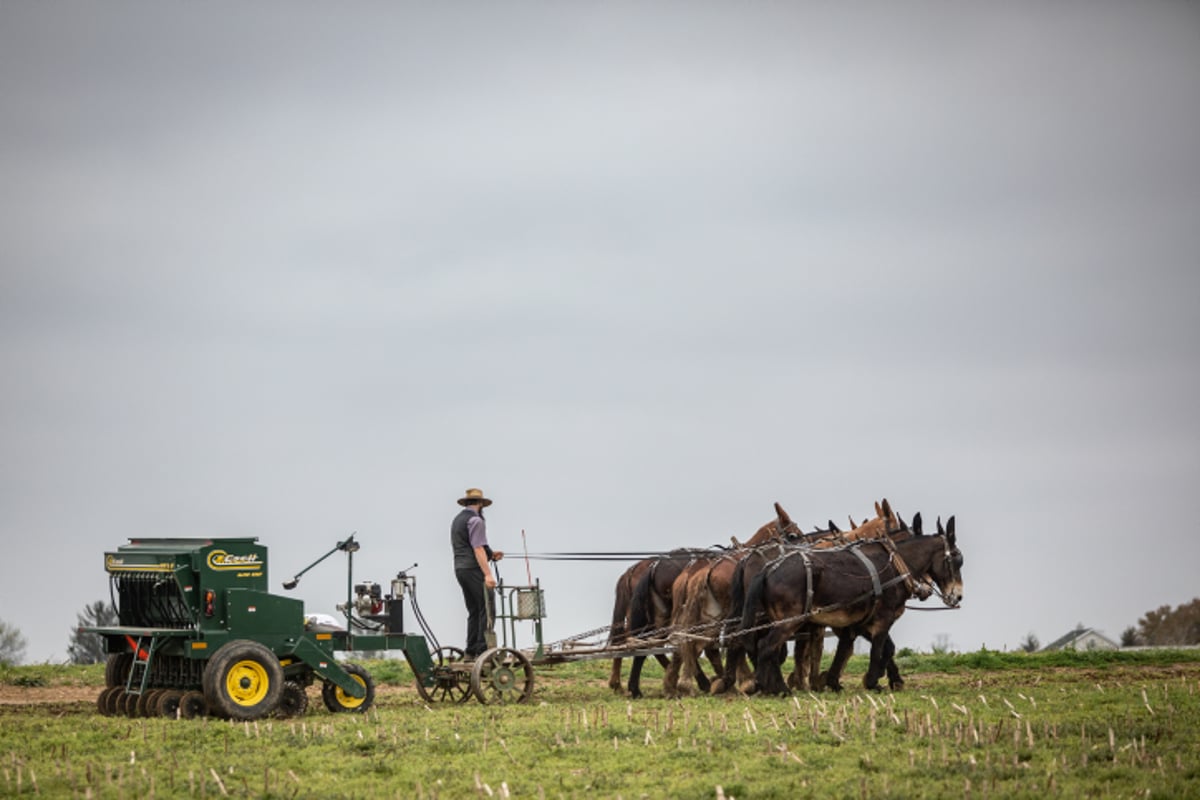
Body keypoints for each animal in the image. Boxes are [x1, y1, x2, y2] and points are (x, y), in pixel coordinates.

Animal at [734, 520, 960, 695]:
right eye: (958, 559)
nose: (957, 596)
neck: (895, 564)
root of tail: (768, 569)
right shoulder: (882, 619)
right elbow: (877, 649)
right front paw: (873, 682)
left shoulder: (857, 623)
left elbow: (855, 649)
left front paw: (835, 681)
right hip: (789, 621)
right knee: (766, 647)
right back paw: (772, 687)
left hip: (777, 620)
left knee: (766, 648)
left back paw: (772, 686)